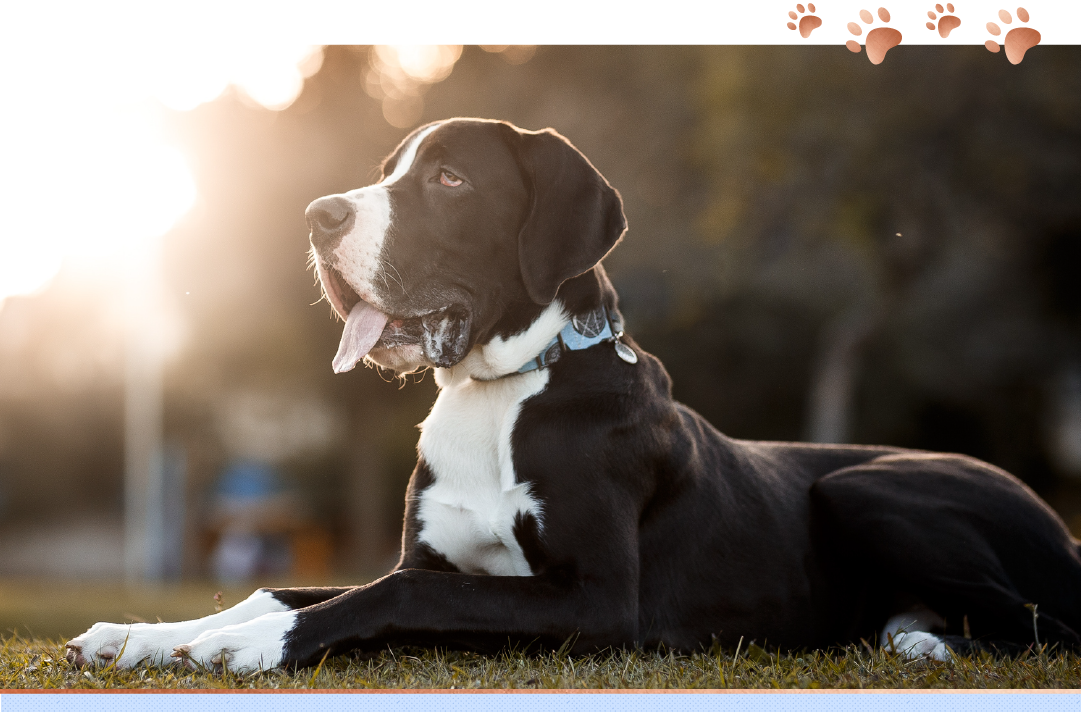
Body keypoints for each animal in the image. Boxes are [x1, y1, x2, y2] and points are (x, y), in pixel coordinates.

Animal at [65, 118, 1081, 674]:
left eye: (449, 178)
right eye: (389, 170)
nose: (318, 215)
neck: (501, 388)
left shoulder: (594, 603)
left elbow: (383, 595)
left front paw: (244, 649)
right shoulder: (434, 559)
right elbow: (289, 584)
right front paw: (147, 635)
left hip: (863, 485)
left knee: (1046, 624)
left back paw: (923, 640)